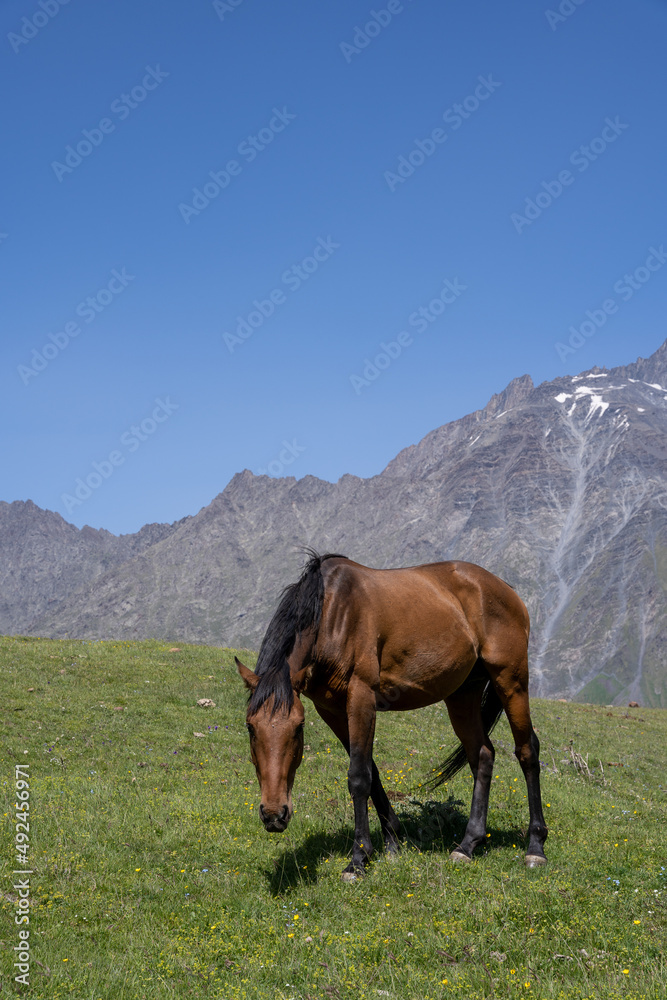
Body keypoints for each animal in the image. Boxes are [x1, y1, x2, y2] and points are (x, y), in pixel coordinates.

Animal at [236, 551, 548, 880]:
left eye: (298, 727)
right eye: (250, 727)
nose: (274, 814)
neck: (332, 613)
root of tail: (506, 589)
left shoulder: (361, 698)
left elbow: (359, 776)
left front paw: (358, 858)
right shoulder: (332, 710)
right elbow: (371, 773)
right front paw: (392, 842)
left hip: (511, 680)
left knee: (527, 751)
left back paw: (535, 848)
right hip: (463, 694)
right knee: (483, 754)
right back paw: (468, 844)